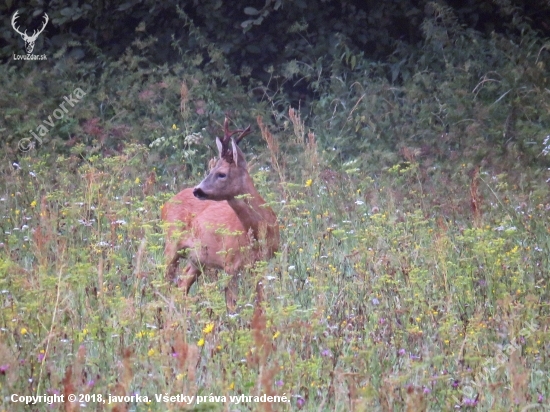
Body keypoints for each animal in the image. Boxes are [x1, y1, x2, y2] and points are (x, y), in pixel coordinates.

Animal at [161, 117, 280, 310]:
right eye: (211, 170)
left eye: (221, 174)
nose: (197, 190)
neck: (258, 231)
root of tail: (166, 204)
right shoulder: (230, 263)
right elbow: (231, 306)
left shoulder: (262, 263)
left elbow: (261, 300)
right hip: (171, 243)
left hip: (197, 258)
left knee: (181, 286)